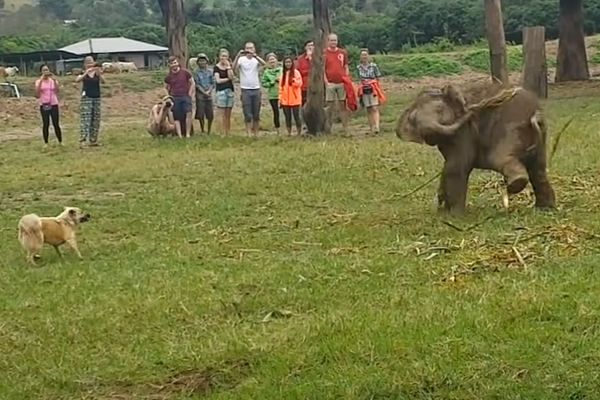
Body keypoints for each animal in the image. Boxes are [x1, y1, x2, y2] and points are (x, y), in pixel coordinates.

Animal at [396, 79, 556, 214]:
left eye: (440, 111)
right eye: (413, 120)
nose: (472, 111)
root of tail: (534, 114)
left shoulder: (464, 132)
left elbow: (455, 166)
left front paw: (454, 217)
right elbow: (448, 166)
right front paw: (444, 211)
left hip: (510, 128)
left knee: (500, 159)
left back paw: (514, 187)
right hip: (538, 137)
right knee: (538, 170)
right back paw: (545, 209)